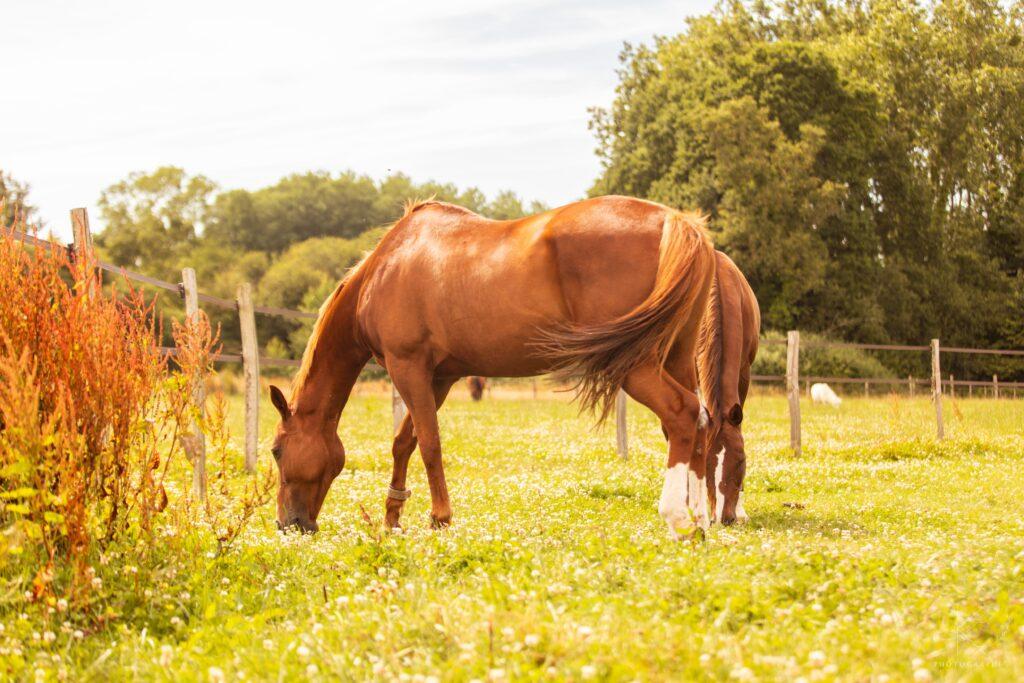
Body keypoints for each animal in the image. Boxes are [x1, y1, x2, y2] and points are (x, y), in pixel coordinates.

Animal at [268, 194, 716, 536]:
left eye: (275, 450)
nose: (289, 524)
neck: (387, 267)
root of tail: (677, 222)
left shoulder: (408, 368)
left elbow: (428, 443)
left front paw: (439, 517)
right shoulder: (440, 378)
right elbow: (404, 442)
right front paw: (392, 518)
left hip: (634, 366)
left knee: (681, 413)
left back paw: (678, 517)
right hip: (676, 359)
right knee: (700, 420)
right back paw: (701, 518)